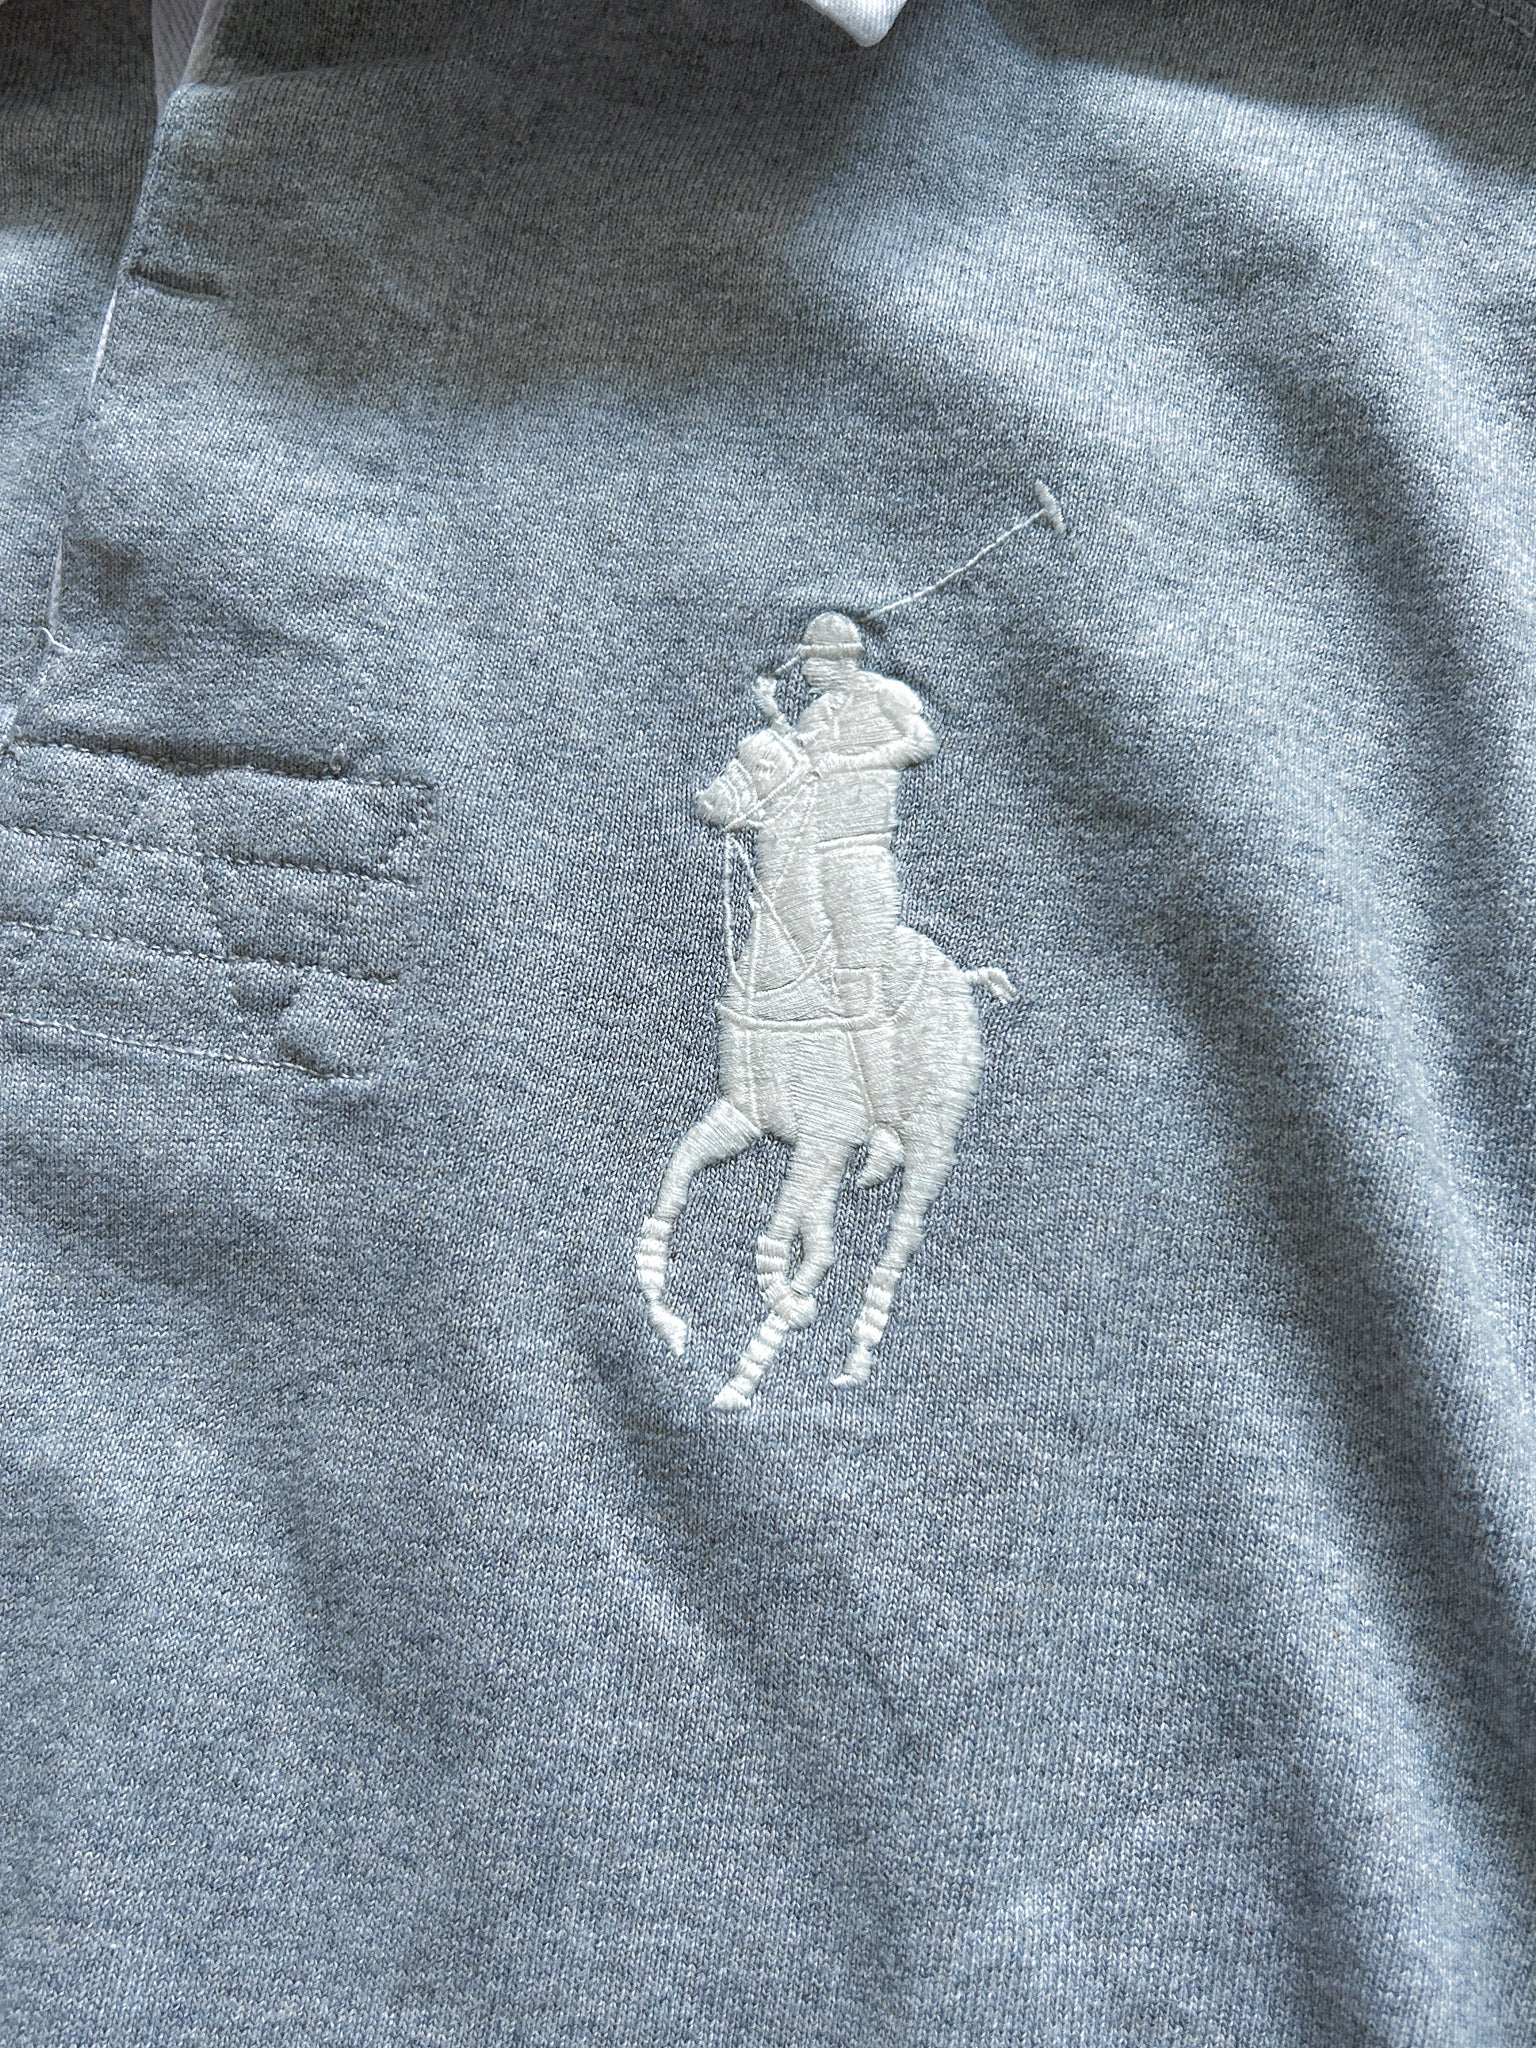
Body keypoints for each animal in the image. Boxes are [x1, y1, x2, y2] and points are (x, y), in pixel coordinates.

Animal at [636, 723, 1014, 1412]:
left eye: (765, 766)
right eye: (740, 751)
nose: (707, 802)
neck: (785, 969)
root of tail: (963, 980)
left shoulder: (820, 1138)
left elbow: (775, 1244)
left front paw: (778, 1319)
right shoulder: (752, 1116)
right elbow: (680, 1176)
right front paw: (669, 1314)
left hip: (930, 1143)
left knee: (894, 1245)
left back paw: (851, 1356)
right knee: (825, 1234)